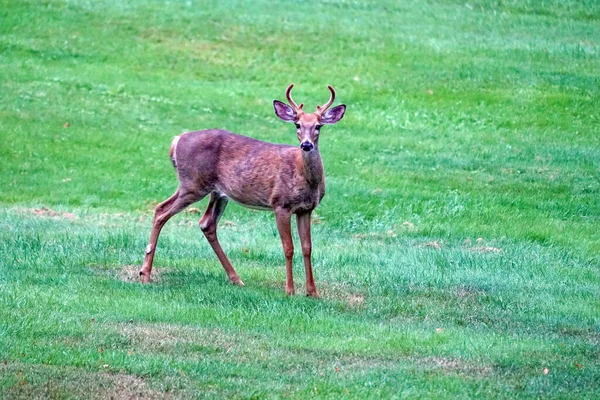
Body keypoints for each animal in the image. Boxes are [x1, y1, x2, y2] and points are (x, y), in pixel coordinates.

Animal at [139, 84, 346, 296]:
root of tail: (176, 140)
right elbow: (288, 247)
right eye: (297, 124)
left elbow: (307, 247)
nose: (306, 145)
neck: (305, 177)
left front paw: (312, 292)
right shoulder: (280, 204)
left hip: (215, 192)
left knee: (206, 223)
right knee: (161, 210)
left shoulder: (306, 209)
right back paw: (145, 274)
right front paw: (289, 290)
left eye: (318, 126)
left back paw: (236, 279)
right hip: (193, 184)